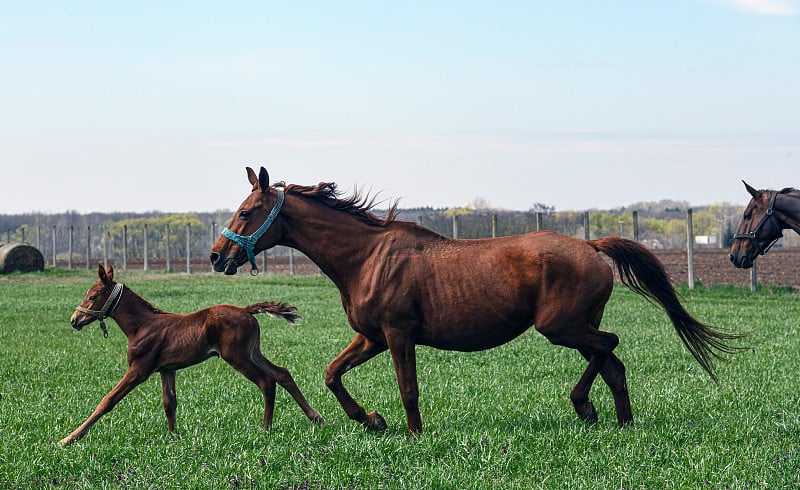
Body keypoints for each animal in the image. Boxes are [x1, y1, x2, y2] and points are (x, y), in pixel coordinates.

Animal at [59, 266, 324, 446]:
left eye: (93, 296)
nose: (74, 320)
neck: (141, 326)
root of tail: (246, 310)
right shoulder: (167, 369)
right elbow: (169, 402)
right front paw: (173, 437)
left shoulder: (139, 369)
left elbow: (108, 400)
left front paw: (69, 438)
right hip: (253, 352)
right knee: (282, 373)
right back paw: (316, 417)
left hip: (237, 356)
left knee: (266, 381)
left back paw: (266, 428)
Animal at [208, 167, 744, 432]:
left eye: (247, 211)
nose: (216, 256)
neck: (367, 256)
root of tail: (591, 246)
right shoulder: (371, 338)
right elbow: (332, 374)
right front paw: (372, 420)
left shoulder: (398, 335)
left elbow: (408, 389)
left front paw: (413, 433)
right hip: (575, 328)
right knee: (613, 363)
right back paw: (617, 421)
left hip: (562, 328)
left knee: (609, 347)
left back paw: (585, 407)